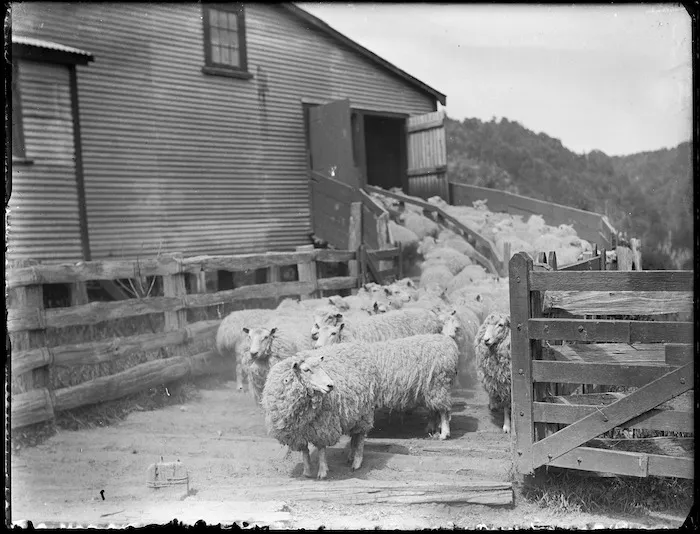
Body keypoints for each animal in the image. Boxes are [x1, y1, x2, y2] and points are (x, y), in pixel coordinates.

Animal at [261, 349, 379, 479]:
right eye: (306, 370)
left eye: (321, 367)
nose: (331, 385)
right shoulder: (297, 433)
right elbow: (305, 451)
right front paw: (307, 472)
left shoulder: (323, 426)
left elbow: (321, 449)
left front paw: (322, 472)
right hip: (355, 414)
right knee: (355, 435)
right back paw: (351, 456)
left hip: (365, 413)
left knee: (361, 437)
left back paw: (357, 462)